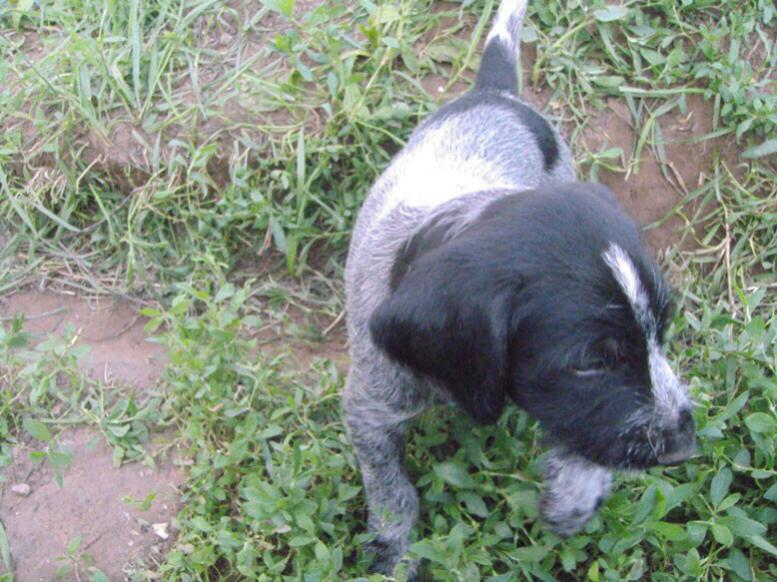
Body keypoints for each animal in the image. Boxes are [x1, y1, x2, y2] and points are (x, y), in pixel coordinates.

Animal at [343, 0, 696, 576]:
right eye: (590, 362)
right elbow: (392, 492)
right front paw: (393, 554)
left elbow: (583, 425)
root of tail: (497, 95)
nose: (683, 447)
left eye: (662, 332)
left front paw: (577, 490)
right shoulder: (368, 408)